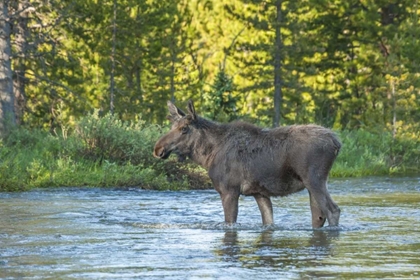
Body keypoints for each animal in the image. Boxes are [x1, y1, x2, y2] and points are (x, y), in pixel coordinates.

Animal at [154, 100, 342, 228]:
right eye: (172, 126)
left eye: (184, 129)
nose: (158, 148)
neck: (207, 157)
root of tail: (336, 143)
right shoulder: (259, 193)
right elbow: (268, 221)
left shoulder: (229, 190)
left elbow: (230, 223)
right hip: (312, 185)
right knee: (318, 215)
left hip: (314, 179)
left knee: (332, 210)